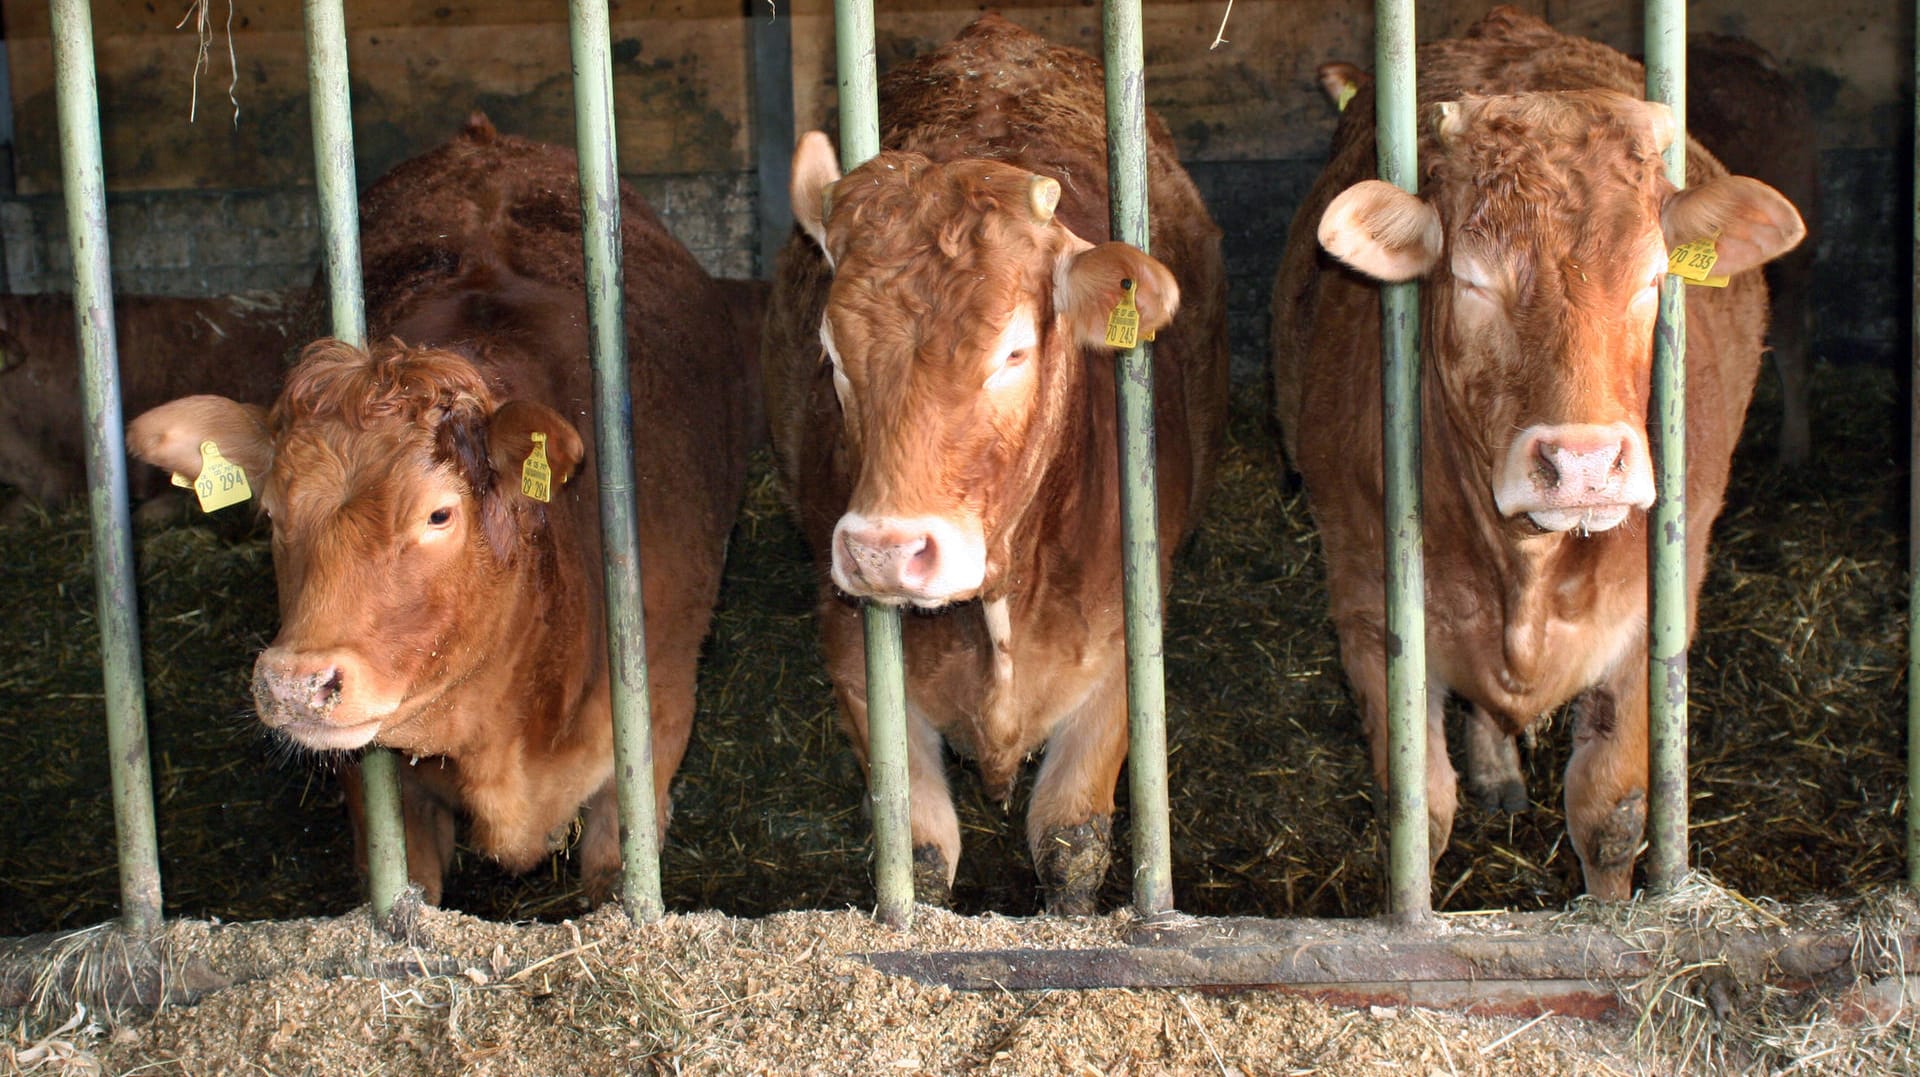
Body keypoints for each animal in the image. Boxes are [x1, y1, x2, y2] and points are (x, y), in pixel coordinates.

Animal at [764, 12, 1228, 909]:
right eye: (831, 352)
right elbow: (919, 854)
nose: (884, 551)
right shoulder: (854, 660)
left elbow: (1071, 843)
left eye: (1013, 351)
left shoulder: (1123, 654)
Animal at [1274, 8, 1797, 898]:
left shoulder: (1651, 619)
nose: (1582, 464)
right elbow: (1420, 809)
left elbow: (1611, 813)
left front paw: (1610, 911)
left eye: (1653, 278)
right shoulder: (1369, 613)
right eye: (1472, 280)